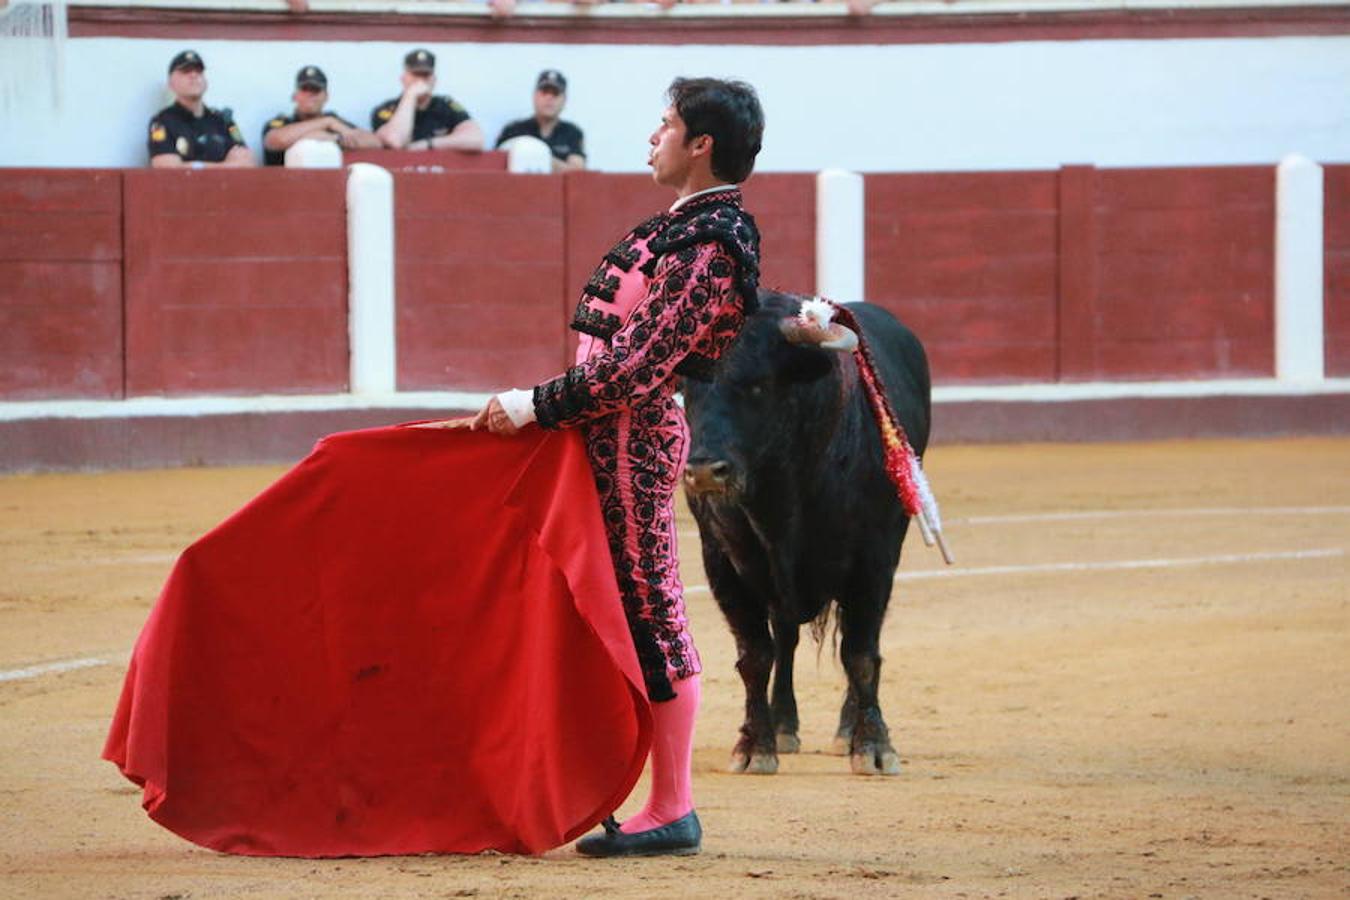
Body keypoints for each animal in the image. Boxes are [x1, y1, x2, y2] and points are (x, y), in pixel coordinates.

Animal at [680, 292, 934, 777]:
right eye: (688, 390)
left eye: (758, 384)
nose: (703, 471)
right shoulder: (722, 559)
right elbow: (755, 655)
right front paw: (754, 746)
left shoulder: (873, 557)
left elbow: (861, 654)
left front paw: (873, 748)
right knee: (786, 638)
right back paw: (783, 725)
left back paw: (846, 731)